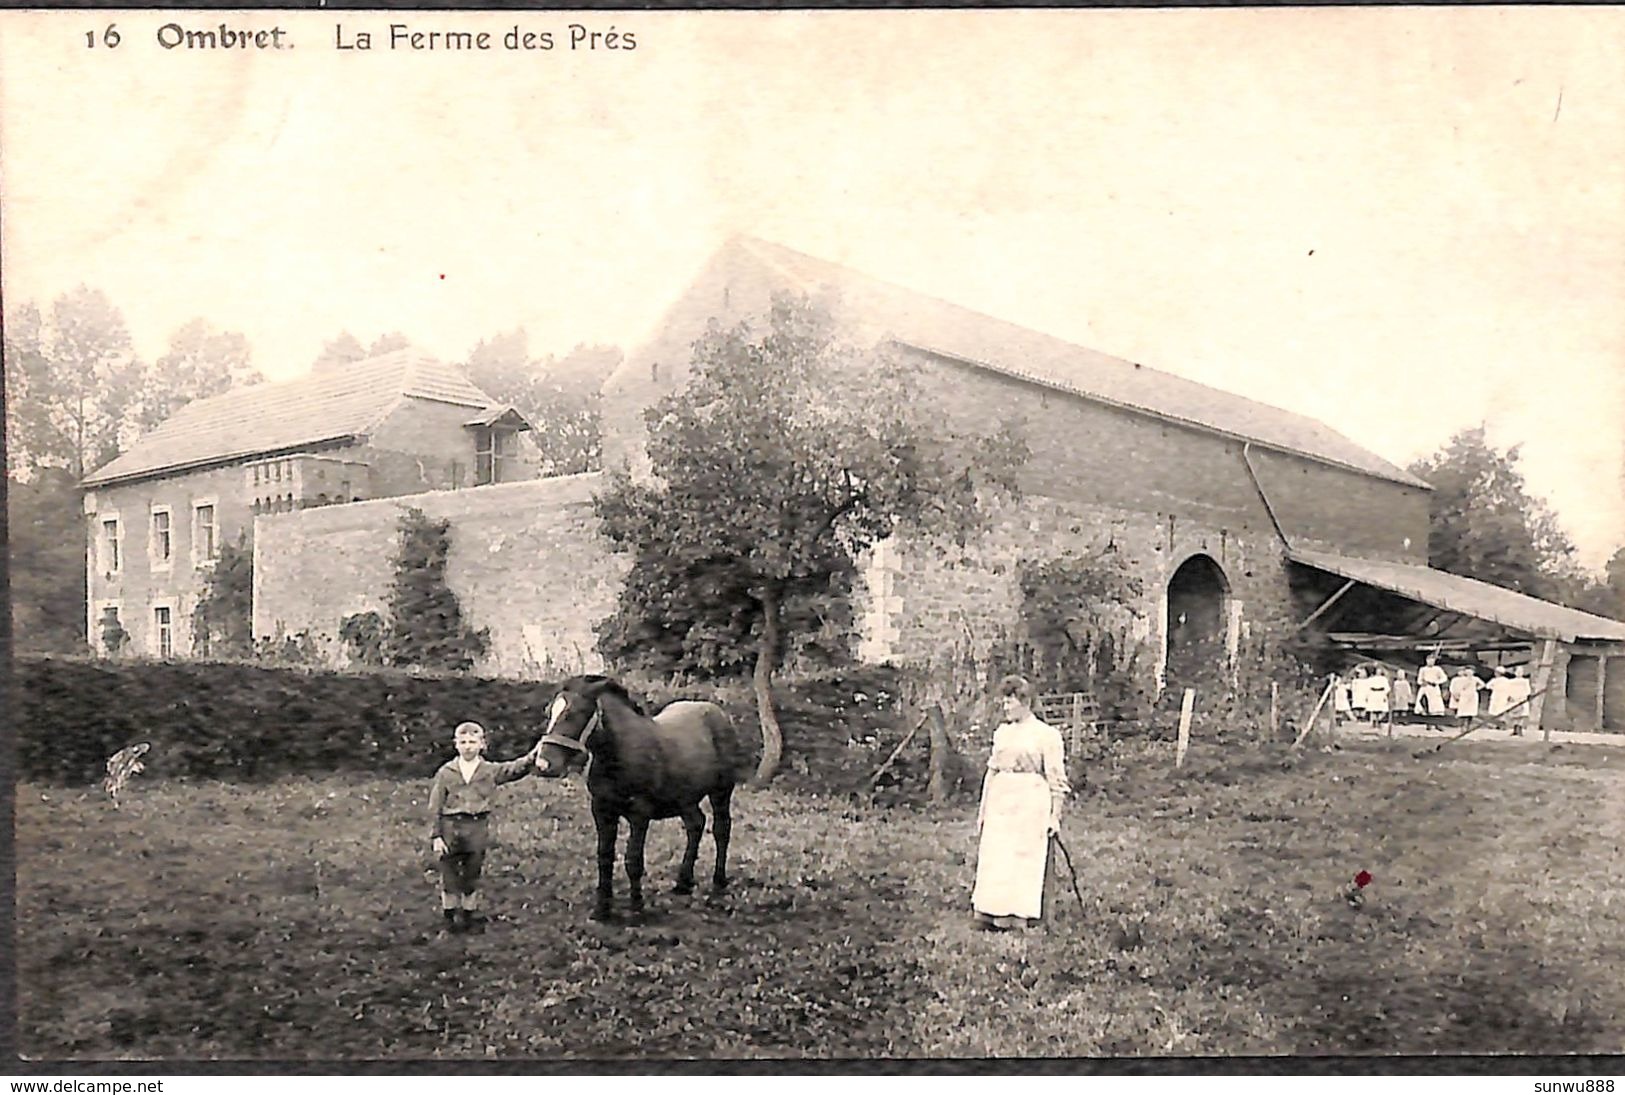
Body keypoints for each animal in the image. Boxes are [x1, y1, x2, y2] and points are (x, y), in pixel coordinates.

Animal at [533, 669, 744, 916]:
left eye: (575, 713)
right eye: (549, 712)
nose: (544, 764)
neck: (617, 755)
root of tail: (719, 714)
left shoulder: (639, 813)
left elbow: (633, 860)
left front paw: (637, 908)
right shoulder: (602, 810)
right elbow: (604, 856)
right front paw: (602, 909)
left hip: (721, 791)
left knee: (721, 829)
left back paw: (718, 883)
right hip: (685, 799)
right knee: (696, 824)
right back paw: (683, 882)